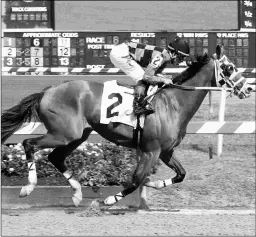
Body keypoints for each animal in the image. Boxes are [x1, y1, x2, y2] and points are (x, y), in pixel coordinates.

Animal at [0, 51, 252, 207]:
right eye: (229, 67)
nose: (248, 88)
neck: (173, 103)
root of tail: (48, 91)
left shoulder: (165, 151)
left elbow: (180, 175)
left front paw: (153, 184)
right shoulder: (151, 150)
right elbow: (134, 180)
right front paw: (108, 200)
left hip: (77, 135)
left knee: (55, 157)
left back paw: (77, 193)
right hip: (64, 133)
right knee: (29, 143)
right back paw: (28, 187)